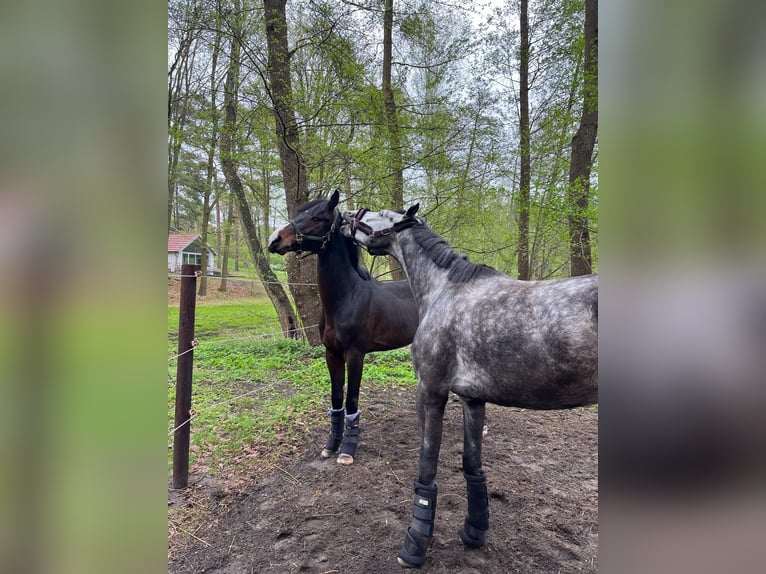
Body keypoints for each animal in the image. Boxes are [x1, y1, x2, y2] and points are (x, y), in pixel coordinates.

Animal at [267, 191, 419, 464]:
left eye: (317, 217)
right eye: (300, 212)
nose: (275, 239)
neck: (347, 297)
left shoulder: (355, 355)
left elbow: (351, 399)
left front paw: (348, 449)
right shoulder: (332, 354)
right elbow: (336, 398)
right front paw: (331, 445)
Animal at [341, 205, 598, 567]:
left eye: (379, 213)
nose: (345, 215)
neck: (446, 290)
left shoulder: (431, 393)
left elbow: (427, 468)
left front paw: (414, 545)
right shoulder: (472, 400)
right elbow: (472, 466)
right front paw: (474, 531)